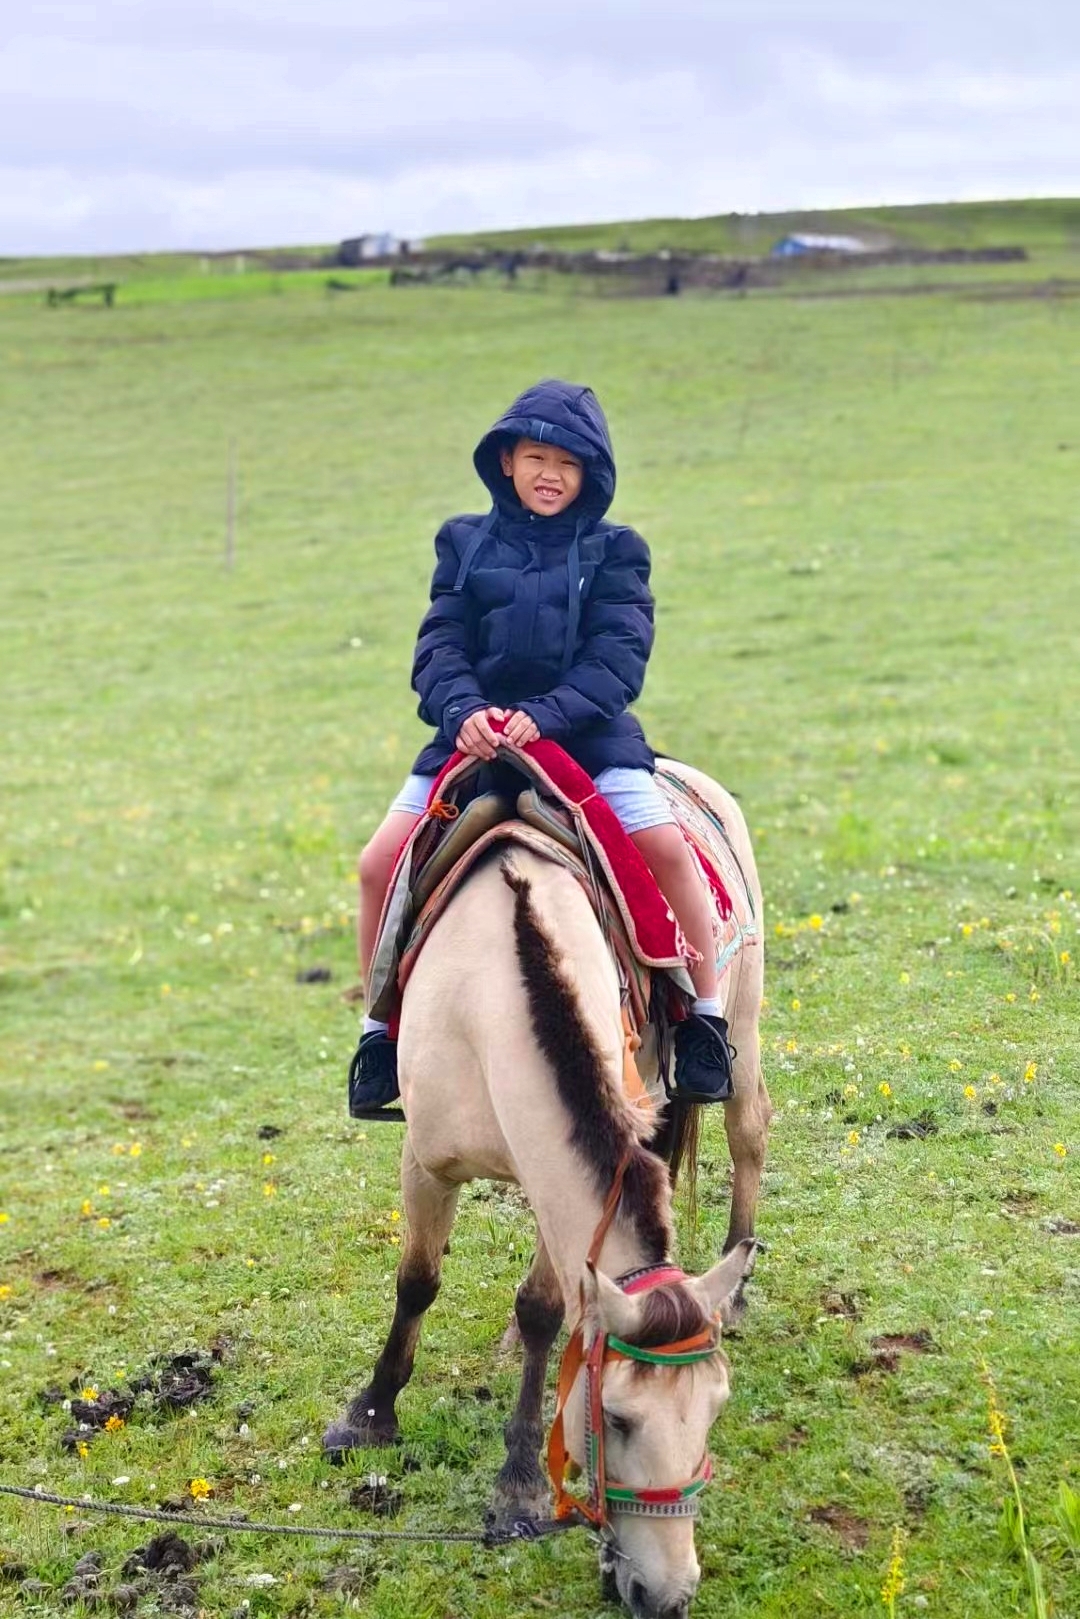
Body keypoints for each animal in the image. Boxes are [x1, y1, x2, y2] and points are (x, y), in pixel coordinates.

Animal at [325, 760, 773, 1619]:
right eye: (618, 1418)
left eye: (716, 1410)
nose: (668, 1595)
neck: (489, 992)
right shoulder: (424, 1161)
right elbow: (417, 1281)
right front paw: (370, 1413)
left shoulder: (555, 1184)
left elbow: (542, 1306)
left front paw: (520, 1481)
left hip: (742, 1024)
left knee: (748, 1132)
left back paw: (733, 1284)